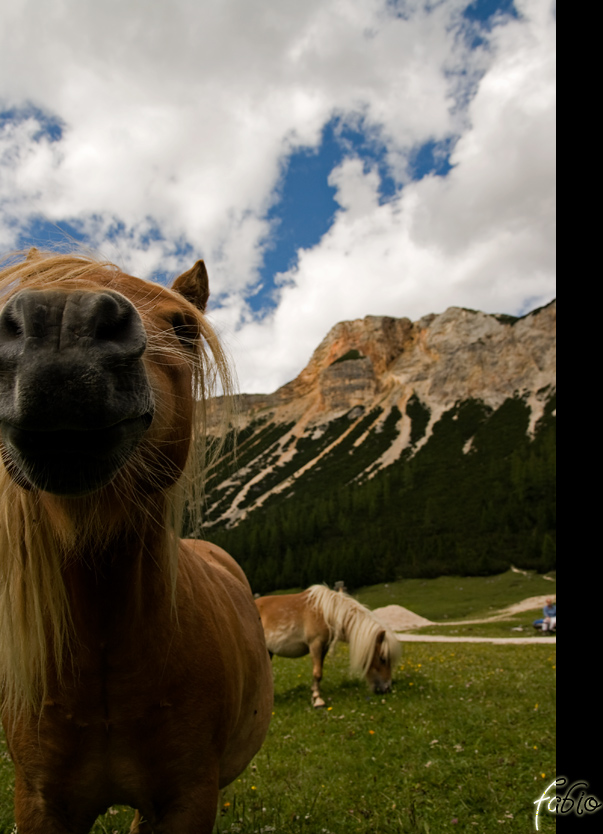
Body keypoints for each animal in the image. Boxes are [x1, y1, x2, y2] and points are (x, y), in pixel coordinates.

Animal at [255, 585, 401, 708]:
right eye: (382, 658)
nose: (387, 688)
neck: (326, 613)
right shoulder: (315, 644)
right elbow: (317, 673)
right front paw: (318, 700)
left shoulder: (324, 647)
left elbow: (319, 672)